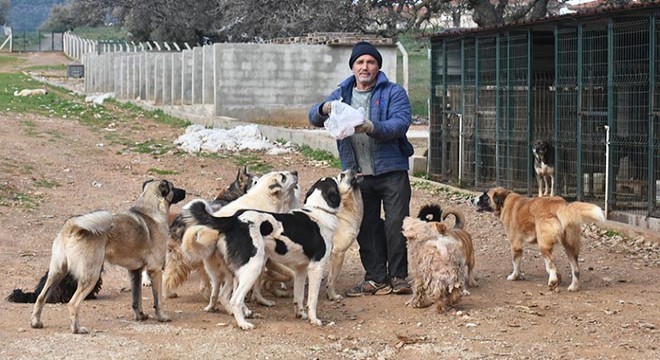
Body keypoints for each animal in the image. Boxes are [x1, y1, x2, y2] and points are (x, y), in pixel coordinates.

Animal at [30, 179, 186, 334]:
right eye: (173, 187)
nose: (184, 191)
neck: (150, 209)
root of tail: (72, 226)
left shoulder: (135, 272)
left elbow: (136, 299)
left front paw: (140, 316)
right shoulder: (155, 270)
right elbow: (158, 300)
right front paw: (162, 317)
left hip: (56, 273)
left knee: (41, 297)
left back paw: (36, 322)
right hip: (90, 276)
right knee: (73, 304)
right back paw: (77, 329)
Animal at [184, 176, 342, 328]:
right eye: (337, 179)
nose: (346, 174)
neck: (319, 210)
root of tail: (234, 220)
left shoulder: (301, 268)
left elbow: (298, 296)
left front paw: (300, 314)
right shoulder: (316, 267)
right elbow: (312, 299)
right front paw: (314, 319)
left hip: (237, 272)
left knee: (226, 295)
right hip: (254, 267)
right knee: (235, 299)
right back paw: (243, 324)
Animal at [324, 169, 360, 300]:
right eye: (342, 175)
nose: (353, 168)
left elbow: (330, 277)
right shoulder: (338, 253)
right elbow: (333, 278)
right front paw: (332, 296)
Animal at [474, 187, 604, 292]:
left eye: (485, 196)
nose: (472, 200)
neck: (505, 200)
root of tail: (560, 204)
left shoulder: (515, 244)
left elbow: (516, 263)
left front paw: (514, 276)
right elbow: (546, 265)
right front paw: (558, 277)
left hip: (544, 245)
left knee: (552, 262)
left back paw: (552, 281)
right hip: (569, 247)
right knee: (575, 269)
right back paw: (573, 287)